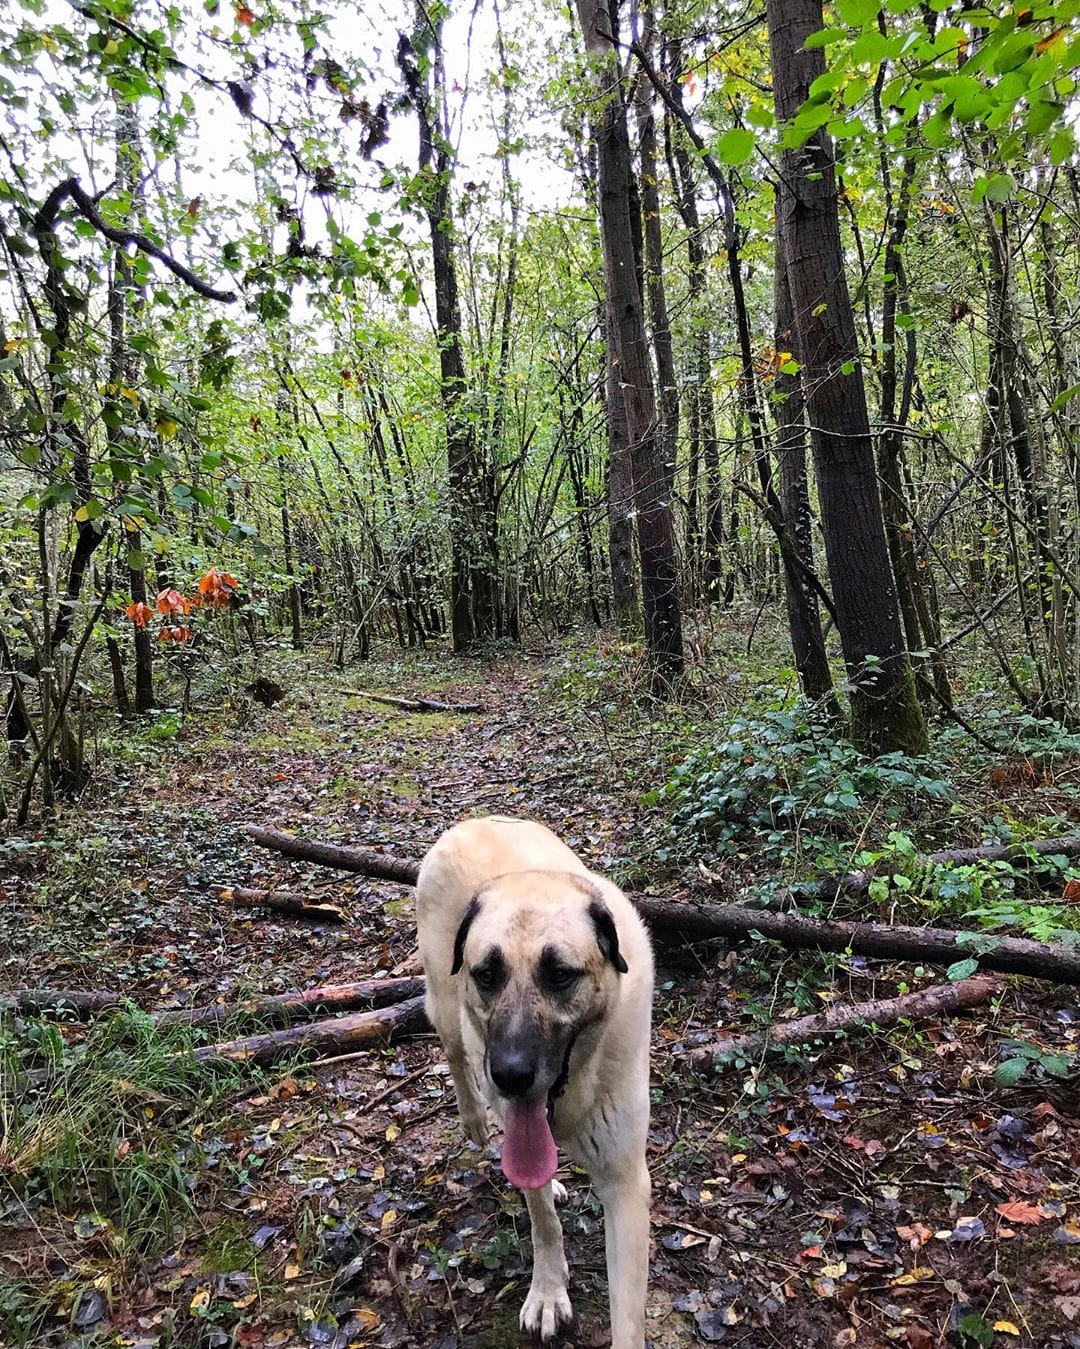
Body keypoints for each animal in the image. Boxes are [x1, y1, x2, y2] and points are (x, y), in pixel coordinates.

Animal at [415, 815, 653, 1347]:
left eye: (560, 974)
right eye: (487, 974)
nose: (509, 1075)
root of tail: (473, 821)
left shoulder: (627, 1183)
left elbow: (628, 1314)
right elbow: (542, 1218)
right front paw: (548, 1291)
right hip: (444, 1003)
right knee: (455, 1053)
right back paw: (474, 1119)